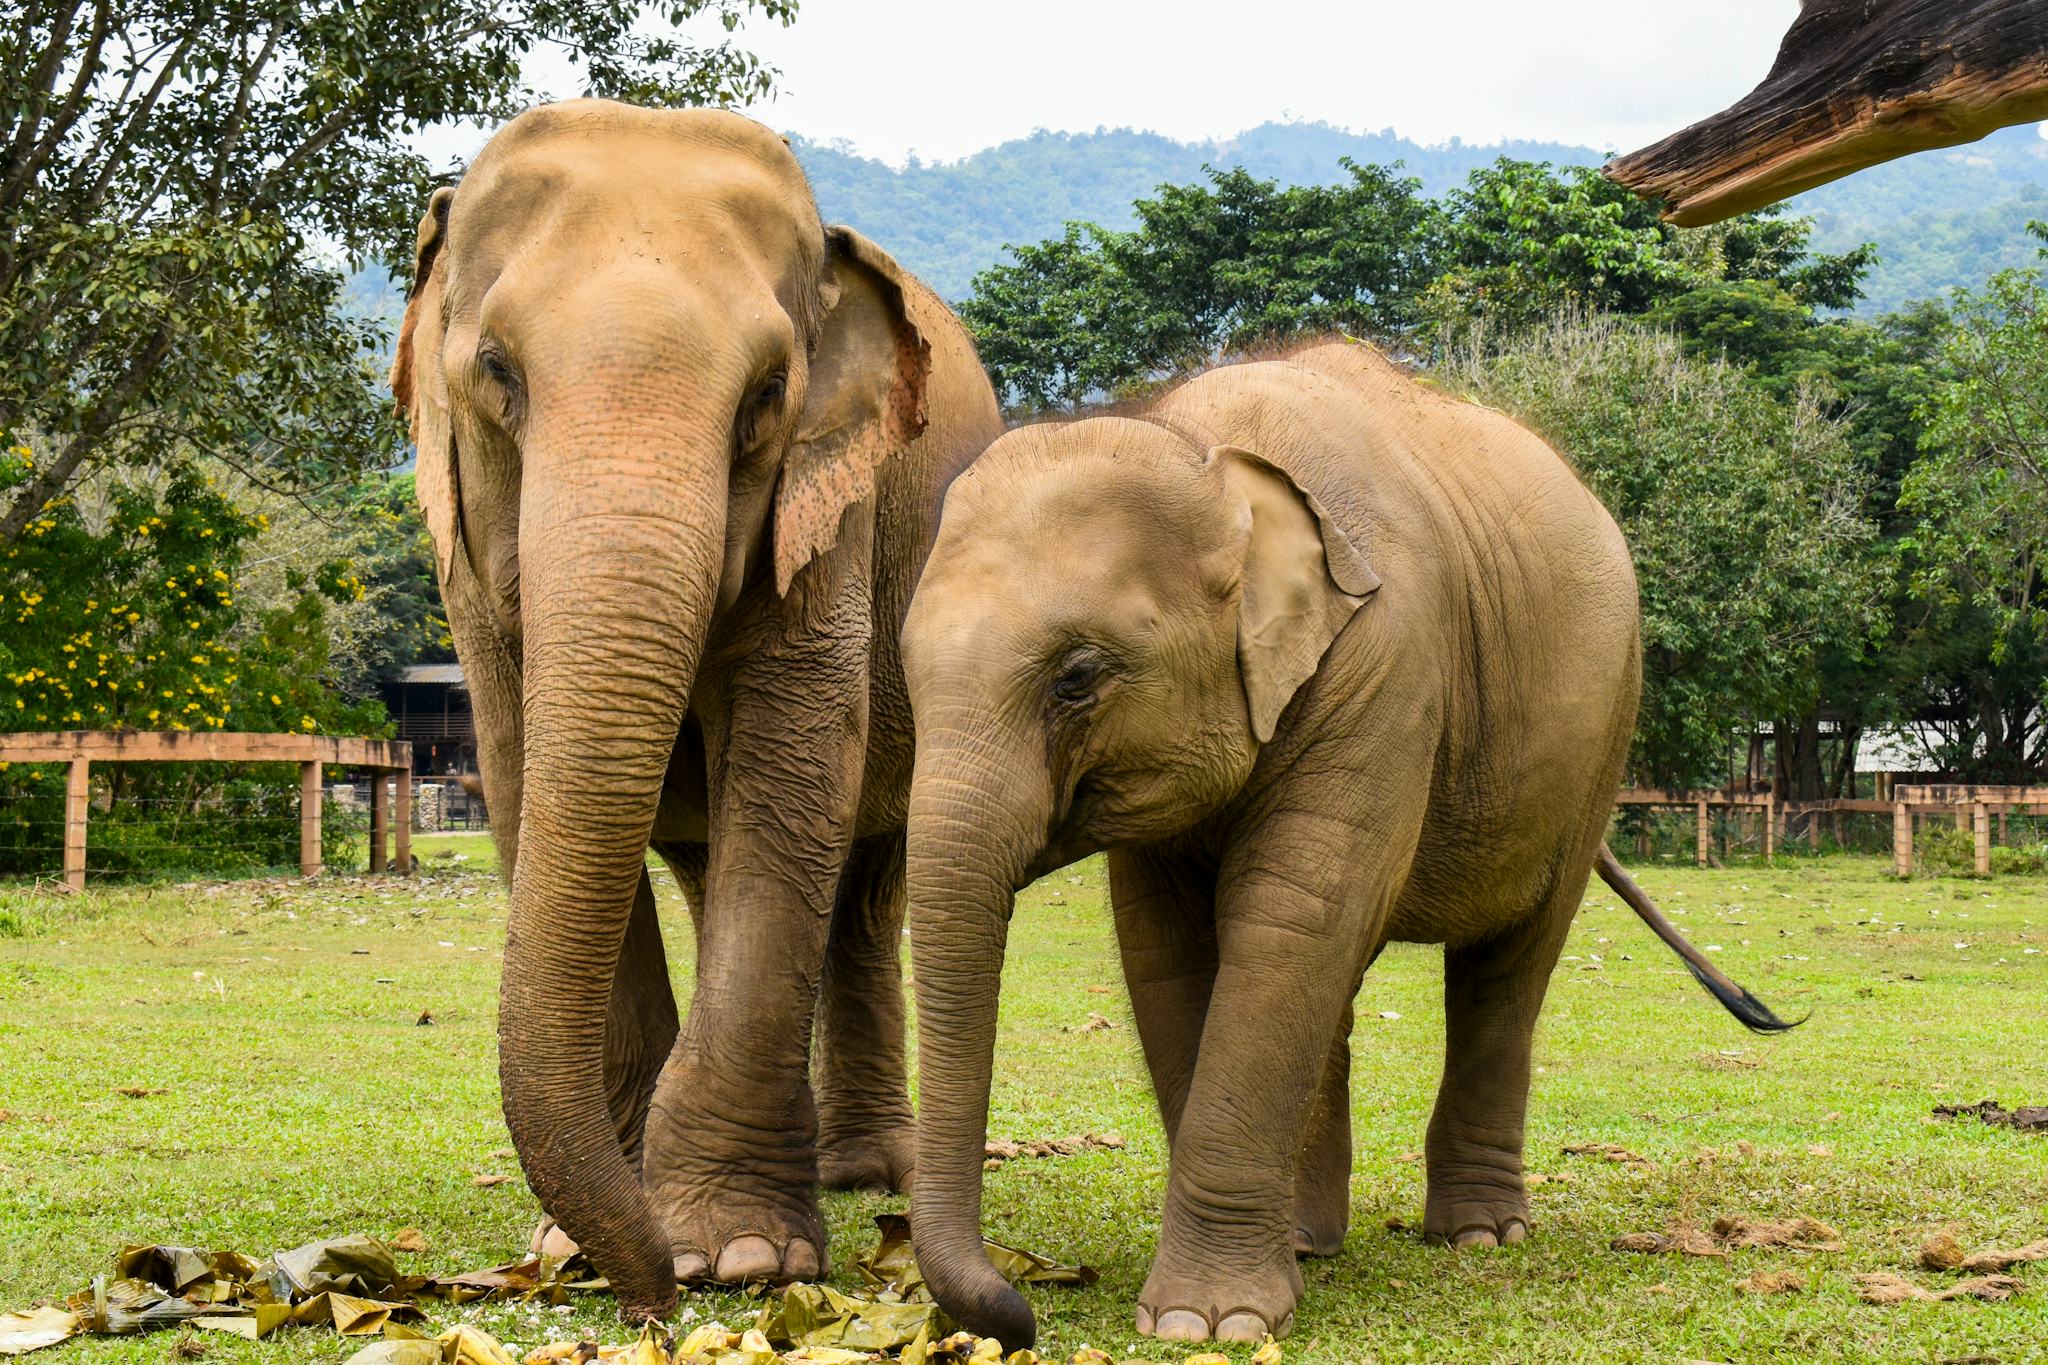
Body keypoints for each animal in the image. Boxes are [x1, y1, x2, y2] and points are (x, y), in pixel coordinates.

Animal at [388, 99, 1003, 1320]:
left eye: (767, 396)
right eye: (495, 371)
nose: (649, 1303)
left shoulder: (833, 508)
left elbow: (795, 762)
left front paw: (737, 1257)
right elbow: (519, 777)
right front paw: (591, 1243)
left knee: (865, 884)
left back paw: (865, 1171)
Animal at [896, 341, 1790, 1347]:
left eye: (1078, 676)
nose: (1020, 1310)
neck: (1210, 456)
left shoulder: (1388, 664)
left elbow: (1290, 923)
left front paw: (1207, 1323)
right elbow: (1172, 951)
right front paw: (1252, 1291)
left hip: (1600, 737)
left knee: (1505, 967)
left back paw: (1480, 1235)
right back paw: (1312, 1238)